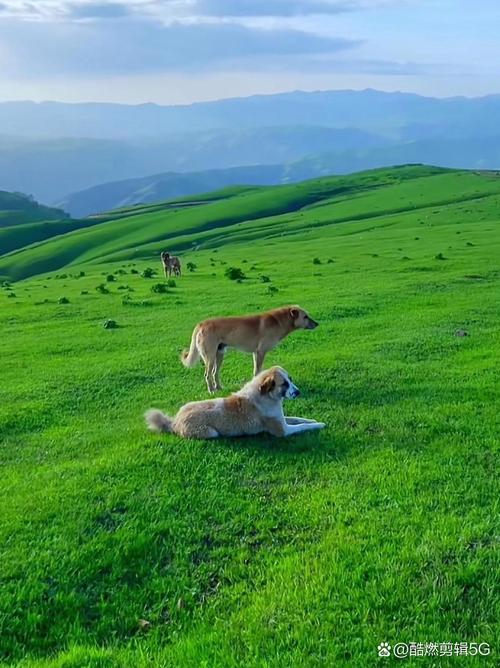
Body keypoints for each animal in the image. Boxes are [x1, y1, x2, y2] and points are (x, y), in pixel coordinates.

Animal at [145, 366, 324, 438]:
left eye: (290, 380)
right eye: (284, 384)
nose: (299, 392)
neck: (266, 395)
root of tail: (174, 421)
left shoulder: (281, 419)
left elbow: (299, 419)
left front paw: (314, 420)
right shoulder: (283, 431)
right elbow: (303, 427)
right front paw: (319, 425)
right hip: (210, 432)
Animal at [182, 306, 318, 394]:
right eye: (305, 317)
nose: (317, 324)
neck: (278, 321)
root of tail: (201, 324)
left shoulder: (255, 353)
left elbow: (256, 370)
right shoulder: (260, 352)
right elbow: (257, 371)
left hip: (219, 354)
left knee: (215, 373)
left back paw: (219, 388)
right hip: (210, 357)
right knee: (207, 374)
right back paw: (211, 390)